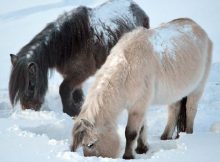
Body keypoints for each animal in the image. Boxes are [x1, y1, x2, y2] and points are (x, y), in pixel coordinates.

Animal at [8, 0, 150, 116]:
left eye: (31, 85)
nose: (28, 109)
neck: (68, 42)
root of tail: (138, 8)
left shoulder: (80, 73)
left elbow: (63, 90)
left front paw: (70, 112)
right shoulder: (71, 74)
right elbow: (76, 93)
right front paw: (79, 108)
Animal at [70, 17, 211, 158]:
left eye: (90, 144)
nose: (91, 159)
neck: (127, 68)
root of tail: (198, 28)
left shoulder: (138, 106)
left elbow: (131, 133)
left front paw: (128, 156)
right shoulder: (140, 107)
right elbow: (142, 128)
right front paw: (142, 148)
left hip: (197, 88)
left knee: (191, 110)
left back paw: (189, 134)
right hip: (176, 93)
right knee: (174, 110)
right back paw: (165, 137)